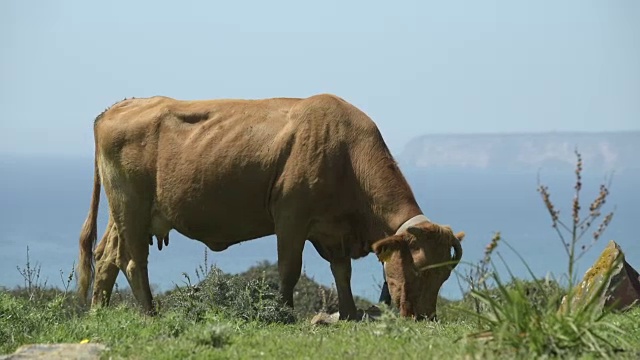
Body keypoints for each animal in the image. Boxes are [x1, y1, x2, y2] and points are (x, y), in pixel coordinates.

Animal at [77, 93, 462, 320]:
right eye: (420, 268)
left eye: (444, 275)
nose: (425, 318)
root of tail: (118, 106)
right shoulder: (291, 216)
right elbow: (289, 269)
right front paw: (284, 314)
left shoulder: (333, 229)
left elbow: (342, 272)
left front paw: (350, 313)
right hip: (131, 205)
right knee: (132, 261)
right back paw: (149, 312)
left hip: (125, 211)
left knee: (106, 256)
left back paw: (98, 312)